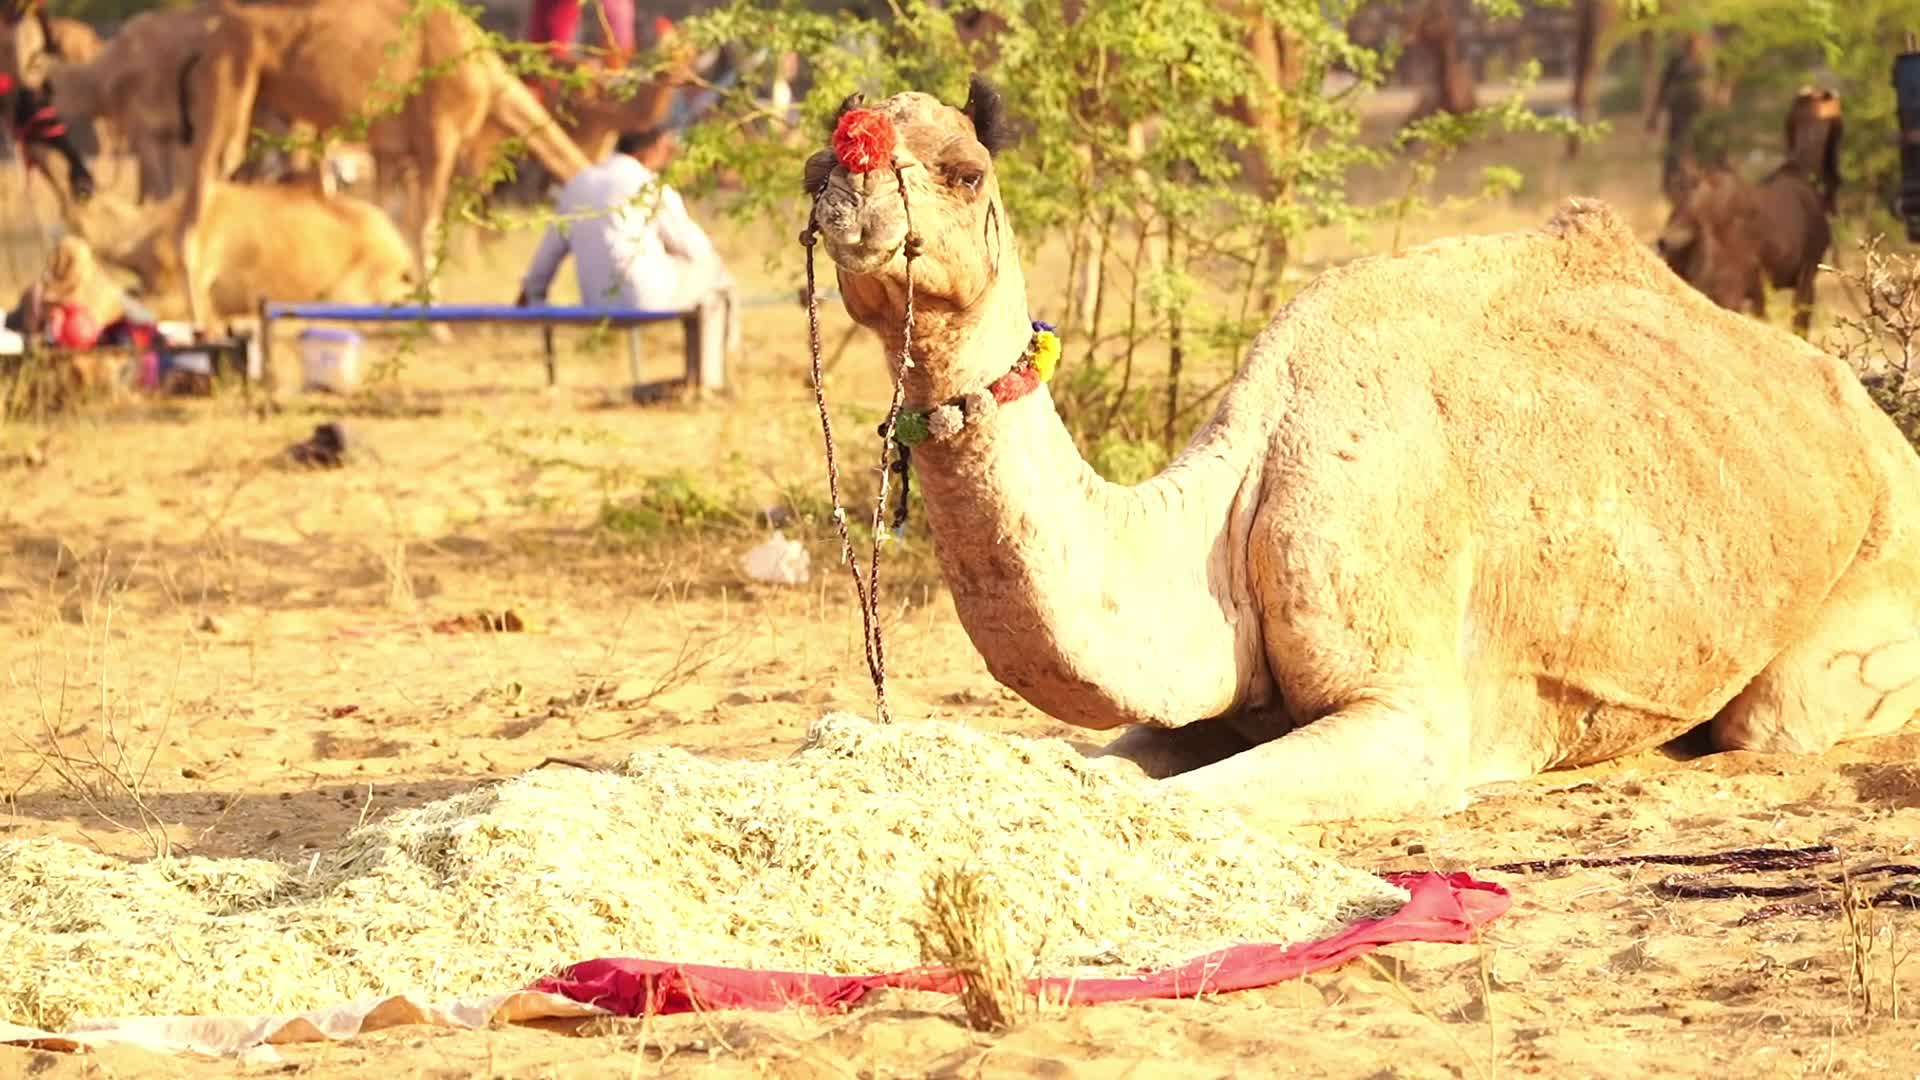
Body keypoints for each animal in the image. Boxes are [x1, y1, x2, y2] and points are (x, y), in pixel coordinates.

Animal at [170, 0, 593, 331]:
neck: (489, 82)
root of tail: (202, 47)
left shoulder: (392, 153)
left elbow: (392, 219)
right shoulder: (439, 138)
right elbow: (425, 229)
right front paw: (435, 325)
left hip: (263, 114)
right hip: (228, 97)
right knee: (198, 201)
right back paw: (201, 324)